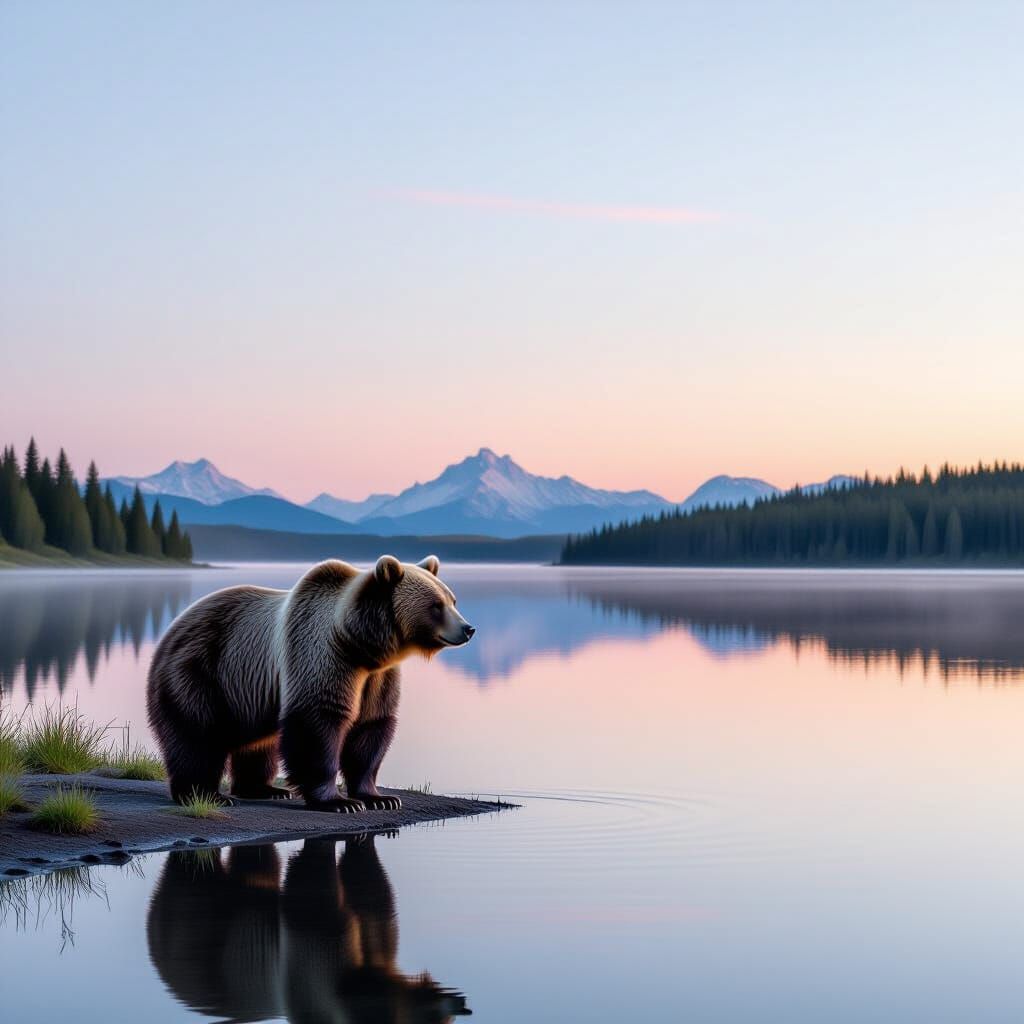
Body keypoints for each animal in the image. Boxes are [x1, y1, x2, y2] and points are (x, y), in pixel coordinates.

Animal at [146, 555, 474, 811]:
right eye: (436, 606)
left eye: (453, 600)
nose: (468, 628)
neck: (361, 645)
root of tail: (172, 629)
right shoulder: (322, 654)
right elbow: (318, 720)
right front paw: (339, 802)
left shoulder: (378, 677)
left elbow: (372, 726)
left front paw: (380, 798)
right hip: (201, 671)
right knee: (197, 735)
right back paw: (205, 794)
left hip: (245, 694)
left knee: (258, 744)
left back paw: (265, 789)